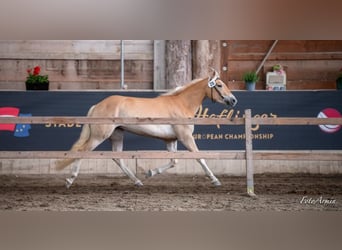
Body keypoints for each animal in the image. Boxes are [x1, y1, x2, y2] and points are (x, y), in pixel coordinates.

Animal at [55, 69, 238, 188]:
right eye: (219, 85)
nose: (233, 100)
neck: (182, 104)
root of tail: (97, 105)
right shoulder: (186, 137)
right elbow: (200, 158)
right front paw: (215, 180)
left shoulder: (171, 140)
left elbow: (174, 162)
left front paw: (150, 172)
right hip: (99, 136)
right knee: (82, 152)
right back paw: (70, 180)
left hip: (117, 135)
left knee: (117, 158)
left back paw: (138, 181)